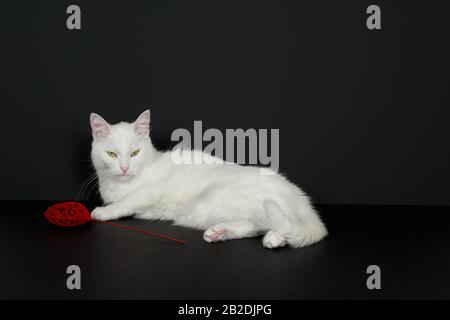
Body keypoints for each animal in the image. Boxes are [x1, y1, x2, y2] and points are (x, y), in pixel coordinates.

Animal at [89, 111, 326, 249]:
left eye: (135, 153)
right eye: (111, 154)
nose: (124, 168)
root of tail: (299, 196)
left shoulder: (149, 193)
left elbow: (126, 203)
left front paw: (104, 212)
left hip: (225, 198)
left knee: (278, 222)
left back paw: (274, 237)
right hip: (206, 213)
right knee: (258, 225)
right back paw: (226, 233)